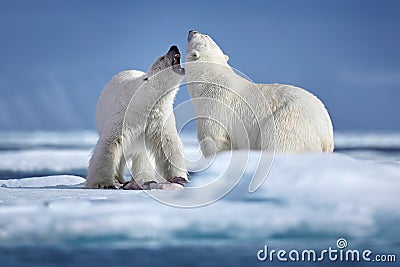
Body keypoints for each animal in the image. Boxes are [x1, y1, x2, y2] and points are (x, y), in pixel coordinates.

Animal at [85, 45, 188, 189]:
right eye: (162, 57)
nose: (174, 47)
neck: (146, 101)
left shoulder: (160, 118)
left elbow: (168, 145)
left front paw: (179, 178)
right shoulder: (127, 116)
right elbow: (110, 144)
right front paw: (102, 183)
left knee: (141, 156)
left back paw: (144, 179)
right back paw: (120, 178)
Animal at [185, 30, 334, 155]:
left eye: (204, 36)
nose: (192, 30)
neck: (210, 79)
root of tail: (326, 135)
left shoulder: (215, 105)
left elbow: (213, 139)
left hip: (288, 121)